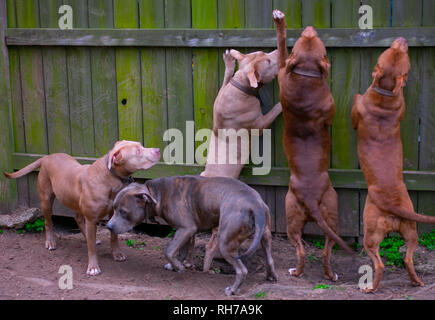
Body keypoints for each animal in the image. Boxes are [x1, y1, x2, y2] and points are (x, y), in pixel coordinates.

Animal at [3, 140, 160, 276]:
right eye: (138, 151)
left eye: (141, 145)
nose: (158, 150)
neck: (109, 177)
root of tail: (47, 157)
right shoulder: (91, 219)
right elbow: (91, 248)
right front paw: (93, 267)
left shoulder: (114, 216)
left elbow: (114, 237)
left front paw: (117, 254)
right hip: (46, 200)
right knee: (48, 222)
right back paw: (50, 241)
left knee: (78, 219)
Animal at [107, 176, 282, 296]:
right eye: (114, 208)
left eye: (123, 212)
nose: (108, 226)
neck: (158, 193)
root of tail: (256, 205)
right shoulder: (185, 231)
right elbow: (181, 251)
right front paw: (176, 264)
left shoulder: (186, 229)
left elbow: (169, 251)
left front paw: (178, 267)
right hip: (265, 237)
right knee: (270, 259)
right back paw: (271, 276)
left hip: (225, 242)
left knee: (242, 270)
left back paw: (232, 290)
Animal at [201, 48, 282, 272]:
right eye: (269, 61)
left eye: (264, 53)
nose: (279, 51)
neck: (241, 86)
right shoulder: (260, 123)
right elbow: (273, 111)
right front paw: (284, 102)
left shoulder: (220, 94)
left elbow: (225, 77)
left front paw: (230, 60)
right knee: (212, 244)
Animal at [274, 9, 356, 280]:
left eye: (307, 39)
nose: (309, 28)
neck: (305, 74)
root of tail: (309, 198)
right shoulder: (283, 69)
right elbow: (280, 47)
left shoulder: (283, 70)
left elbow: (281, 49)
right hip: (326, 212)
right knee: (320, 251)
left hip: (298, 218)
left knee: (309, 250)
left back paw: (310, 273)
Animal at [352, 37, 435, 292]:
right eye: (393, 51)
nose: (403, 39)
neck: (387, 92)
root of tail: (392, 206)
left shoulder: (357, 109)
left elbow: (356, 99)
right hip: (411, 231)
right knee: (408, 258)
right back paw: (417, 281)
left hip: (370, 234)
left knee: (379, 264)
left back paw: (371, 287)